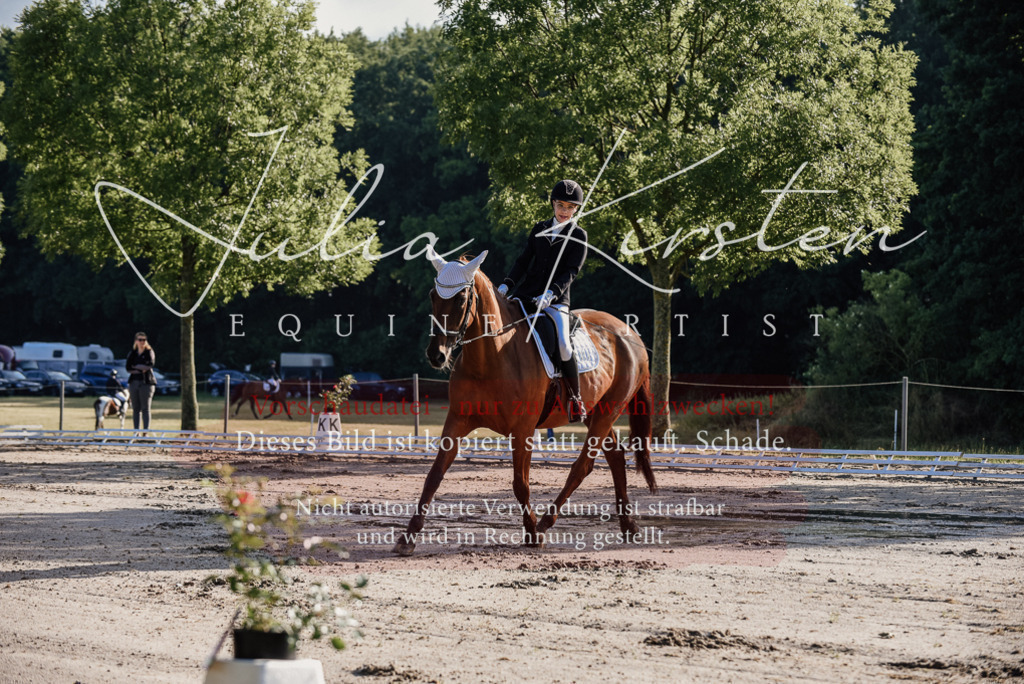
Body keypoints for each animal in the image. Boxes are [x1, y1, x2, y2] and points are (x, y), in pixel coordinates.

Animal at [393, 250, 657, 555]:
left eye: (460, 299)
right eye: (432, 295)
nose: (436, 355)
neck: (490, 356)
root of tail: (629, 333)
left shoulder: (523, 429)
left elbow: (521, 483)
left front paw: (531, 533)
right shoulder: (457, 421)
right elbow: (434, 475)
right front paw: (408, 537)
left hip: (608, 411)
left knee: (582, 467)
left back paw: (545, 524)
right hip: (594, 411)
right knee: (615, 456)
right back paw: (628, 525)